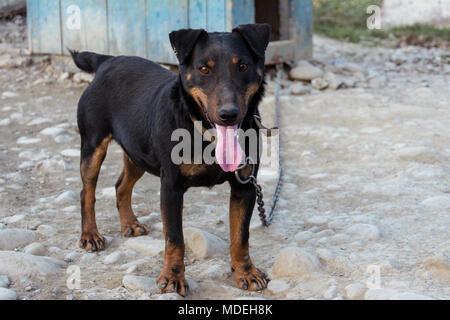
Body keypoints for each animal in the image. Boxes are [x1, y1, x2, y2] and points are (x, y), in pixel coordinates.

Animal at [70, 23, 270, 296]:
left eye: (243, 67)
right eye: (204, 69)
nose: (228, 114)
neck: (204, 133)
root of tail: (107, 61)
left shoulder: (244, 187)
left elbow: (241, 237)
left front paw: (246, 272)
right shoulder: (171, 187)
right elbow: (175, 239)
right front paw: (173, 277)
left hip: (137, 153)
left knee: (121, 185)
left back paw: (130, 223)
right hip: (93, 145)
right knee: (87, 192)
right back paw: (90, 235)